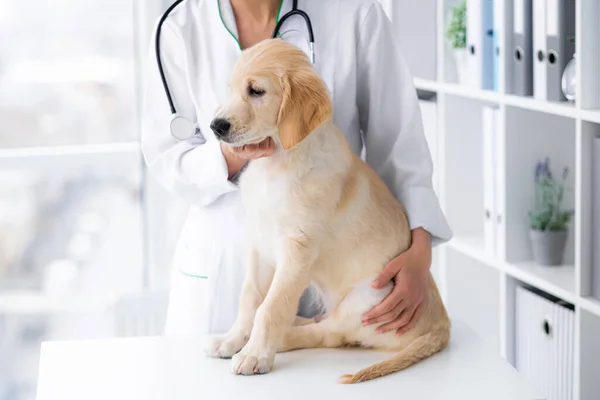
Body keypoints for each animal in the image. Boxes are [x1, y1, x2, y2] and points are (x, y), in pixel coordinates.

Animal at [206, 38, 450, 384]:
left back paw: (284, 337)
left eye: (256, 91)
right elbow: (250, 297)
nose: (215, 126)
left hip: (371, 297)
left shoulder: (298, 248)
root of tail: (443, 325)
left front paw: (255, 353)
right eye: (230, 88)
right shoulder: (259, 242)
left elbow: (271, 306)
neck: (278, 162)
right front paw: (232, 339)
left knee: (332, 333)